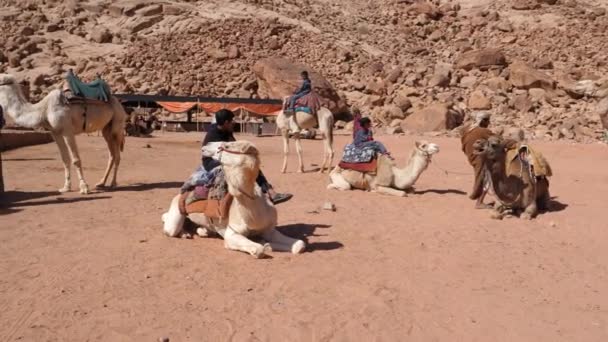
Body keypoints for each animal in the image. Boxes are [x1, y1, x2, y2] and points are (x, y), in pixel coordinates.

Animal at [162, 140, 306, 258]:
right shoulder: (232, 233)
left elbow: (300, 244)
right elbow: (258, 249)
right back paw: (184, 233)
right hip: (175, 211)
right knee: (169, 226)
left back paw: (201, 231)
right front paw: (264, 245)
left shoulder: (269, 229)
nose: (205, 145)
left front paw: (267, 243)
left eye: (227, 145)